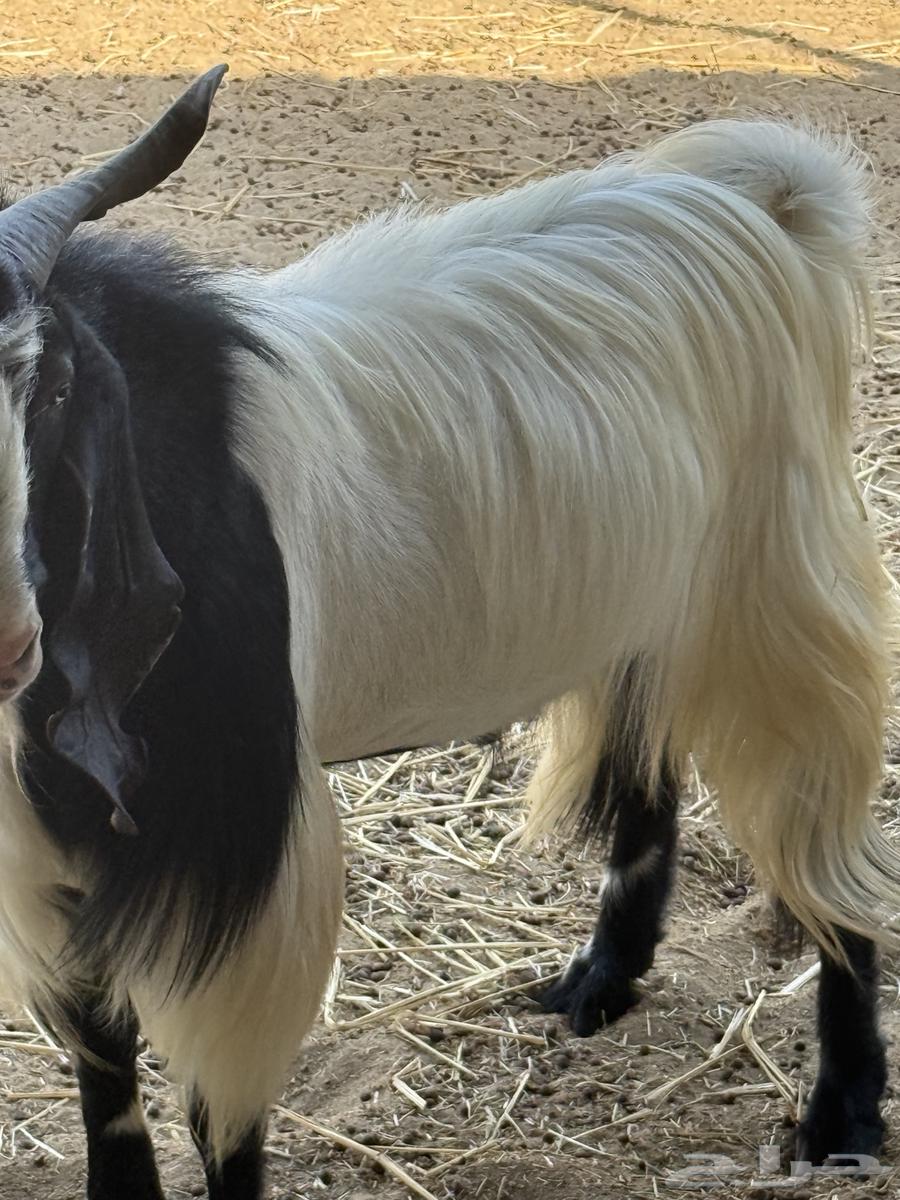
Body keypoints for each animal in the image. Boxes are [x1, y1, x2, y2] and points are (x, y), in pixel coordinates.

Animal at [0, 65, 896, 1198]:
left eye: (52, 388)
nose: (6, 636)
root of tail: (760, 201)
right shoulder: (44, 870)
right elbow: (104, 1073)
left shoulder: (247, 883)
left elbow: (223, 1120)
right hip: (645, 603)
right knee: (650, 771)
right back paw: (598, 986)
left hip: (781, 595)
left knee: (824, 843)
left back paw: (843, 1116)